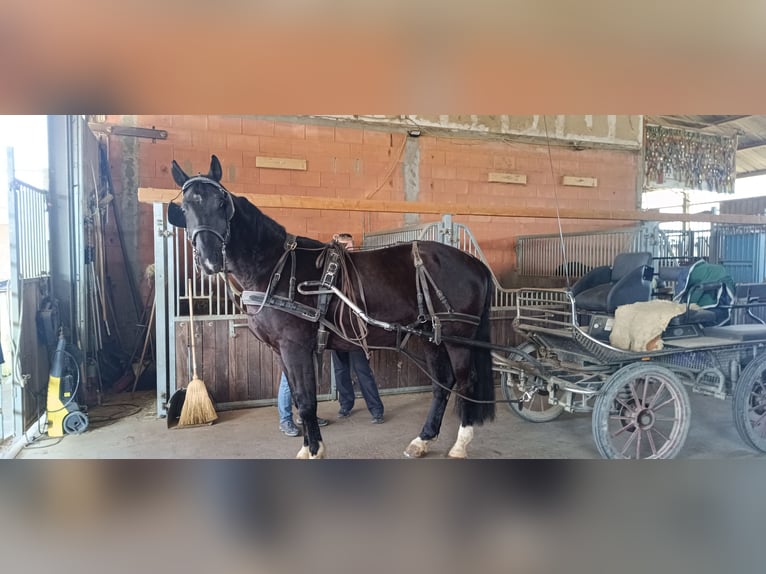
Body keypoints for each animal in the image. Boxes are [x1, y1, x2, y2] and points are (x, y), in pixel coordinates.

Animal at [167, 155, 496, 459]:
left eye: (222, 202)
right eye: (184, 208)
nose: (209, 260)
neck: (276, 268)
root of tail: (475, 264)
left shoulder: (295, 346)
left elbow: (306, 400)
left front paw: (314, 450)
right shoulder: (280, 350)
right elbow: (298, 399)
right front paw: (308, 447)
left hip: (458, 337)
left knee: (466, 383)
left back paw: (459, 445)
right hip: (431, 338)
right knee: (443, 384)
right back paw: (423, 440)